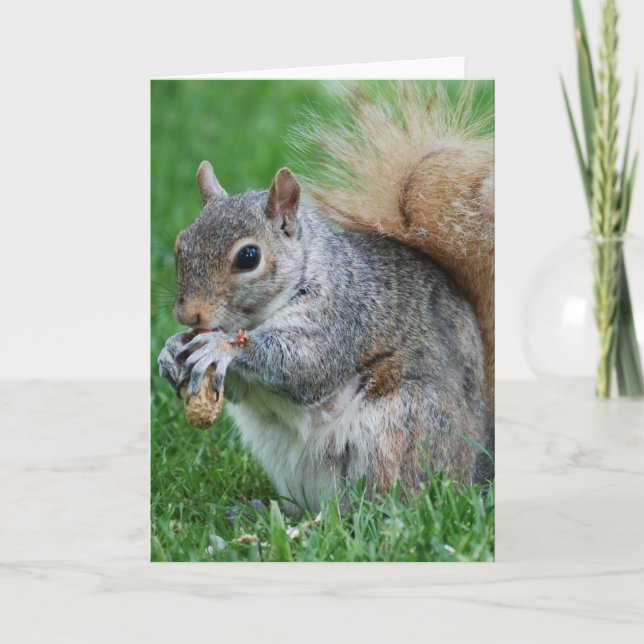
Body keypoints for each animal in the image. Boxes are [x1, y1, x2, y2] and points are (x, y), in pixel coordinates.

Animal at [158, 81, 494, 512]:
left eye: (249, 257)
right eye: (180, 244)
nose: (188, 316)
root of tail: (473, 468)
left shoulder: (342, 313)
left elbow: (306, 365)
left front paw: (220, 345)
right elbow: (238, 389)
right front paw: (170, 349)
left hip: (400, 426)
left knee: (388, 504)